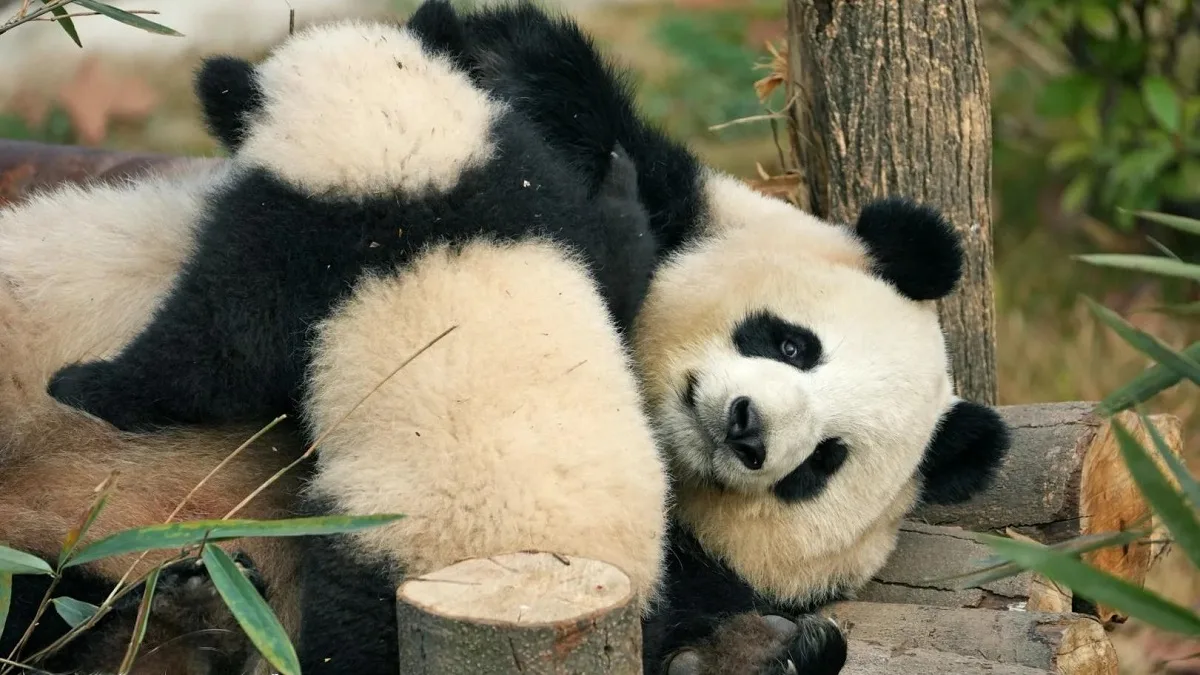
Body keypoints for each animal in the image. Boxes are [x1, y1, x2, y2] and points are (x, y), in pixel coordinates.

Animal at [44, 0, 658, 435]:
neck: (394, 158)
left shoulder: (282, 241)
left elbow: (216, 353)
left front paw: (82, 384)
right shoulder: (526, 182)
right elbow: (620, 266)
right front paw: (620, 179)